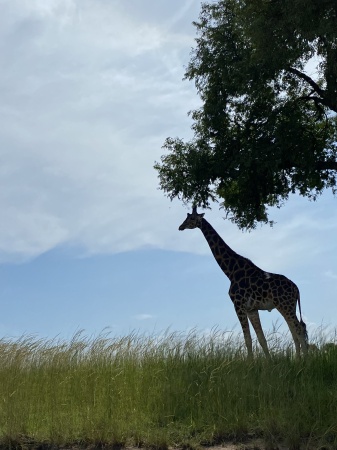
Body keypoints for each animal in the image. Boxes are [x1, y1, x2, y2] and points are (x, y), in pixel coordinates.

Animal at [178, 207, 308, 358]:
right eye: (186, 217)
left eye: (192, 218)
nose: (180, 227)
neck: (231, 272)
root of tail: (297, 289)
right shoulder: (251, 309)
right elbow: (261, 338)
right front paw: (269, 362)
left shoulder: (238, 305)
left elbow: (248, 339)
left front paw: (250, 363)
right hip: (287, 306)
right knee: (295, 330)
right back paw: (299, 359)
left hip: (285, 305)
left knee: (298, 329)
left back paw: (306, 360)